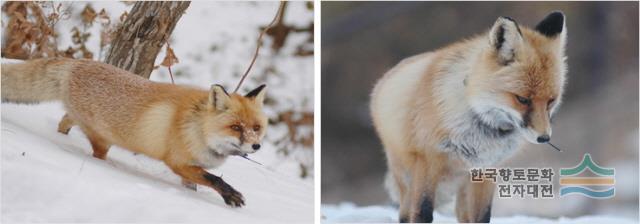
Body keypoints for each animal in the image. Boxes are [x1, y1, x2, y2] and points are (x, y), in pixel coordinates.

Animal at [1, 58, 268, 207]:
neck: (198, 130)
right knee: (94, 149)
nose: (256, 146)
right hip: (102, 139)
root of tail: (78, 62)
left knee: (64, 119)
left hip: (79, 119)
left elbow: (197, 184)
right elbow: (214, 179)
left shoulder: (189, 169)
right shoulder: (178, 163)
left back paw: (61, 136)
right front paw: (231, 196)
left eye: (256, 128)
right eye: (236, 127)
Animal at [372, 12, 568, 222]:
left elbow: (482, 216)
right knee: (405, 211)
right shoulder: (427, 162)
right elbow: (422, 213)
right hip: (406, 177)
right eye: (522, 99)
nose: (544, 138)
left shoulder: (486, 168)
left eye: (551, 101)